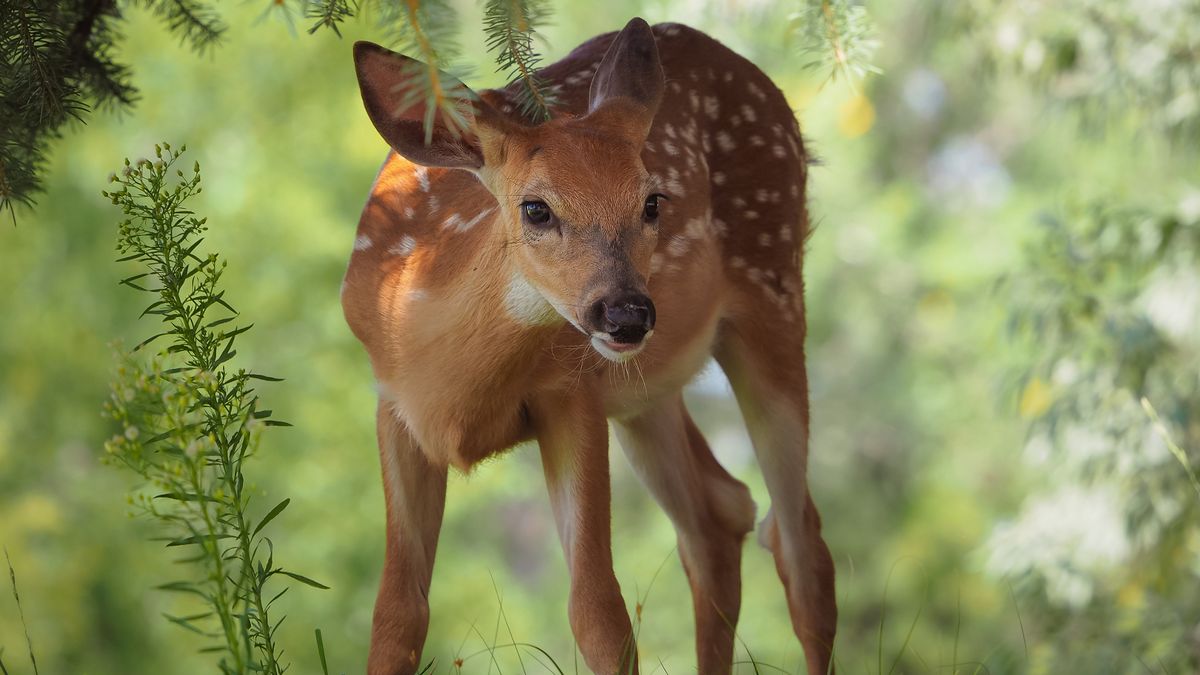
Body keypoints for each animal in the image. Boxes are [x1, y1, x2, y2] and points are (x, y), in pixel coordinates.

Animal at [345, 15, 835, 672]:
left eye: (652, 201)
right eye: (535, 209)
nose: (626, 314)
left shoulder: (572, 394)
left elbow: (598, 612)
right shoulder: (394, 408)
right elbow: (397, 615)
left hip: (773, 285)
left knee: (799, 541)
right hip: (644, 394)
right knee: (718, 513)